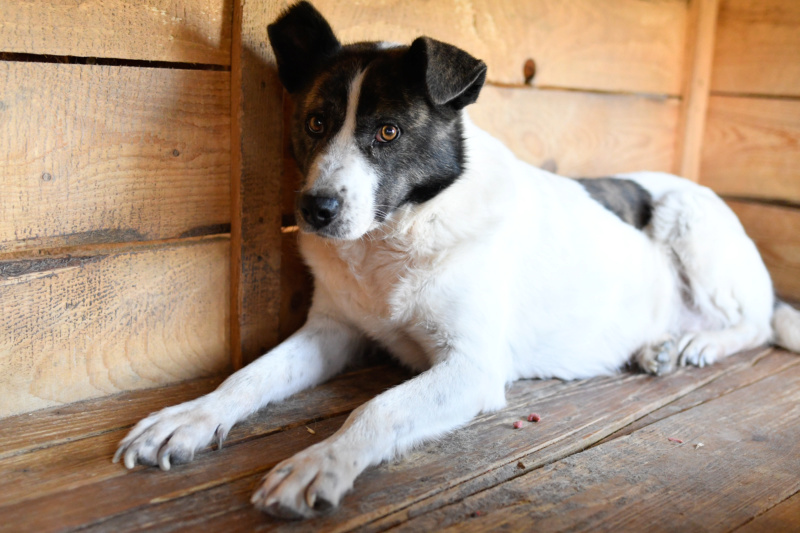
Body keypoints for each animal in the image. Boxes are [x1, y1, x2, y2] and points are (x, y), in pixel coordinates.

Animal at [112, 2, 800, 520]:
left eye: (388, 132)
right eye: (315, 123)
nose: (316, 209)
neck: (392, 239)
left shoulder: (471, 366)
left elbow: (377, 407)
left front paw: (319, 462)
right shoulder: (332, 332)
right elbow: (249, 377)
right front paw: (189, 418)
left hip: (692, 224)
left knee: (758, 323)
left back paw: (694, 345)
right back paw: (662, 345)